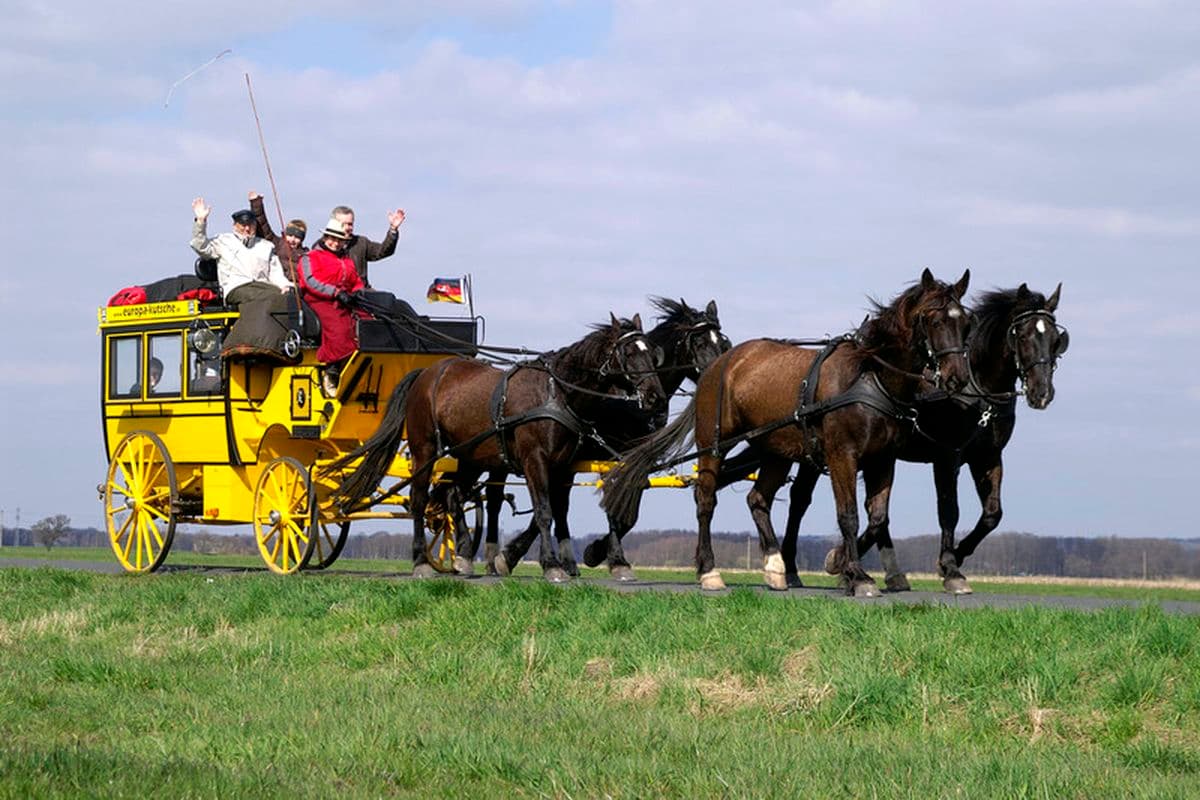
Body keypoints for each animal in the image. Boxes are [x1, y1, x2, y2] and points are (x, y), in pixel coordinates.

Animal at [604, 268, 969, 594]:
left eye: (965, 322)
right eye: (935, 321)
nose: (958, 377)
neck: (869, 376)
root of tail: (717, 366)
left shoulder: (883, 460)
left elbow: (878, 518)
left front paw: (839, 563)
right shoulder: (842, 456)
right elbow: (848, 515)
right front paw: (857, 575)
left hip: (775, 451)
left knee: (757, 498)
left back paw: (775, 566)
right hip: (715, 443)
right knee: (706, 498)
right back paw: (709, 570)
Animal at [792, 284, 1075, 592]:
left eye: (1056, 339)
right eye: (1022, 335)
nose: (1042, 392)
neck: (976, 387)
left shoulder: (987, 456)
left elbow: (992, 514)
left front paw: (957, 556)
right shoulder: (948, 455)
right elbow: (949, 510)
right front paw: (950, 568)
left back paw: (891, 575)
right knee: (800, 500)